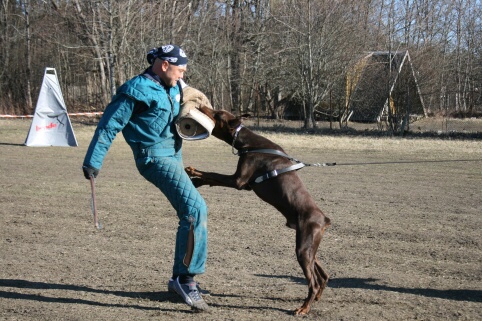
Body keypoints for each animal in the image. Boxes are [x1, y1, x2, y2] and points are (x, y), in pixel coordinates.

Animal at [185, 105, 332, 316]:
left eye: (217, 114)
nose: (201, 106)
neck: (249, 142)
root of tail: (324, 219)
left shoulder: (238, 181)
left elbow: (213, 174)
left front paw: (193, 172)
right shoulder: (243, 184)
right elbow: (212, 178)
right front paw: (196, 181)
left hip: (303, 248)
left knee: (313, 282)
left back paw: (303, 307)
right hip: (310, 247)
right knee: (323, 275)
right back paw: (316, 298)